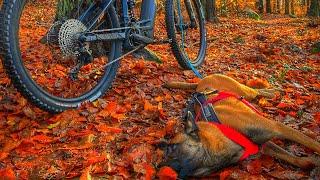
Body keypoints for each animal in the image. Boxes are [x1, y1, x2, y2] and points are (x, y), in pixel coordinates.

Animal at [161, 74, 320, 178]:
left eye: (172, 147)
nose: (158, 167)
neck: (225, 130)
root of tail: (202, 80)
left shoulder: (277, 127)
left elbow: (313, 143)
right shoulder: (265, 145)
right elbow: (298, 160)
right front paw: (311, 163)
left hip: (244, 91)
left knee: (255, 91)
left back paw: (272, 92)